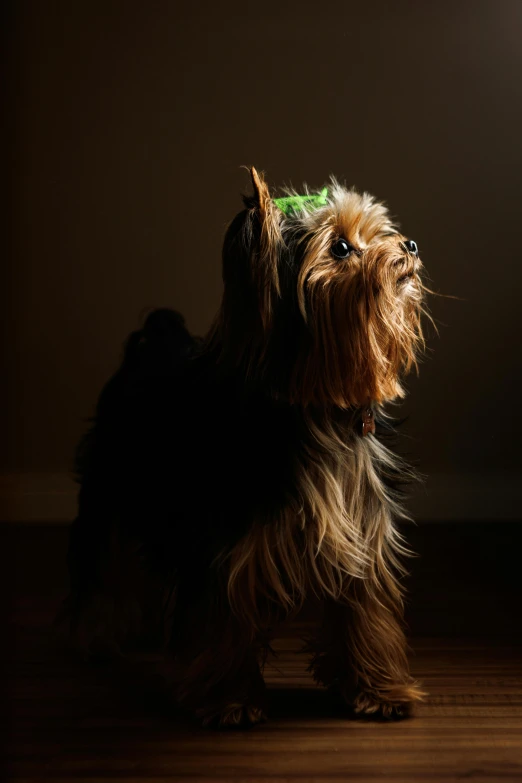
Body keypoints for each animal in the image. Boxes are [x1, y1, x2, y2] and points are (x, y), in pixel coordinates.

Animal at [67, 170, 426, 728]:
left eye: (379, 231)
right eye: (341, 248)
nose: (408, 245)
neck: (318, 410)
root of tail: (151, 340)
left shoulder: (361, 523)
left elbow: (366, 609)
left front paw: (379, 690)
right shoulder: (223, 538)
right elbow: (223, 617)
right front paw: (228, 701)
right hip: (110, 482)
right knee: (103, 557)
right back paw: (96, 638)